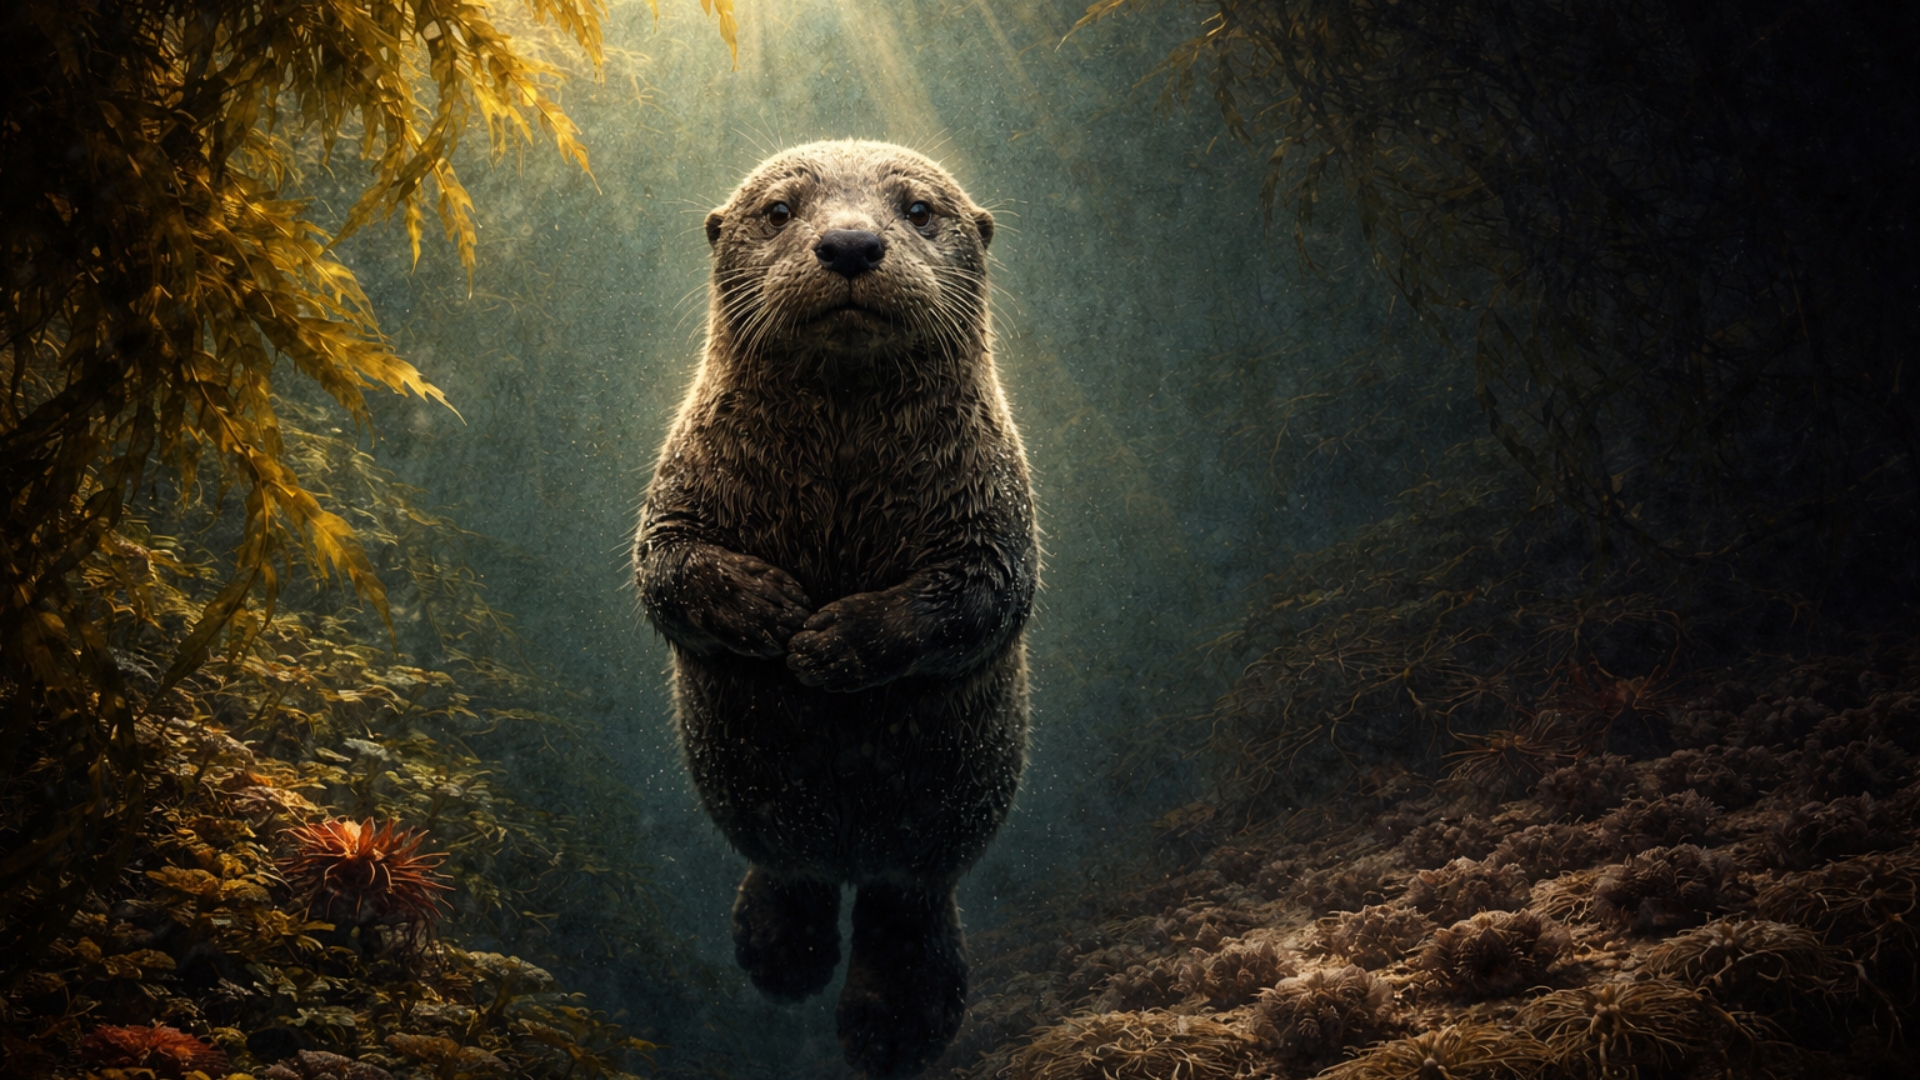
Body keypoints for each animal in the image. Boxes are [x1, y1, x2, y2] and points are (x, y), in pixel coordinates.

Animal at [632, 141, 1036, 1077]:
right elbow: (666, 574)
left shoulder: (995, 512)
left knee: (907, 905)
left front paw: (832, 642)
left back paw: (893, 1025)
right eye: (780, 210)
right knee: (795, 875)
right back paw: (784, 956)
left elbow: (977, 602)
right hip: (787, 841)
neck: (843, 473)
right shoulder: (679, 487)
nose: (851, 243)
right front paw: (770, 610)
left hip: (927, 855)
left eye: (919, 209)